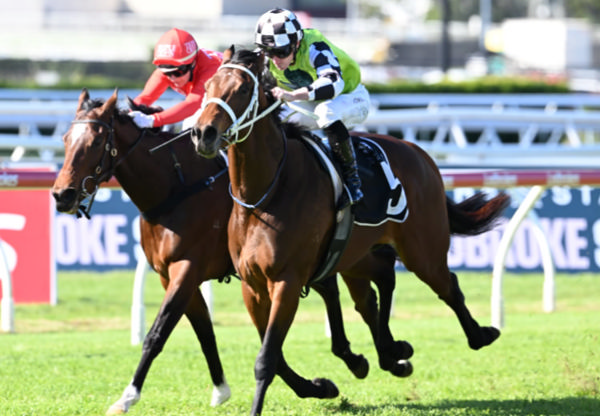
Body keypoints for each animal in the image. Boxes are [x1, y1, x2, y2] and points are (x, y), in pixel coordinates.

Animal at [54, 89, 376, 414]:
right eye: (66, 139)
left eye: (95, 142)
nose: (62, 195)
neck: (175, 189)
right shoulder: (171, 275)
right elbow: (205, 330)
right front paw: (222, 388)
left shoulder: (188, 268)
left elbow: (158, 333)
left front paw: (127, 396)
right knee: (330, 287)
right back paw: (353, 358)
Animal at [192, 46, 510, 416]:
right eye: (208, 85)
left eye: (243, 89)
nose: (203, 133)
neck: (263, 196)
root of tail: (419, 153)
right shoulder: (253, 286)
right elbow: (276, 357)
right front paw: (321, 385)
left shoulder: (287, 281)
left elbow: (266, 359)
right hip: (357, 255)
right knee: (378, 286)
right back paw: (393, 352)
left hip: (423, 250)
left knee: (447, 286)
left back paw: (479, 335)